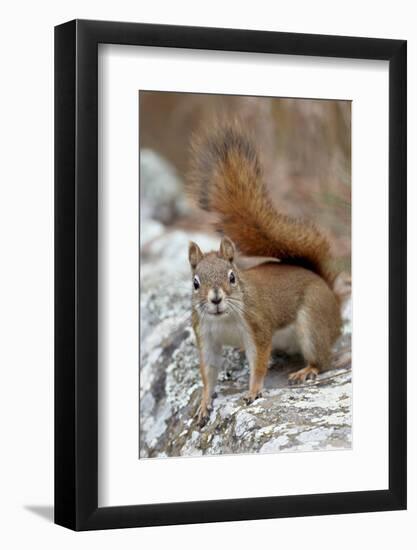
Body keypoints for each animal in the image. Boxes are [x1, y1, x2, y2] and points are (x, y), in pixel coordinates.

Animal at [186, 123, 342, 430]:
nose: (215, 299)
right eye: (195, 283)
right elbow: (208, 371)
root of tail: (332, 296)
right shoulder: (205, 335)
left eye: (232, 277)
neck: (223, 319)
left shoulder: (256, 326)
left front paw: (254, 390)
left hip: (313, 321)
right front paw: (204, 403)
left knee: (323, 359)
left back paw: (307, 369)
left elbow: (258, 361)